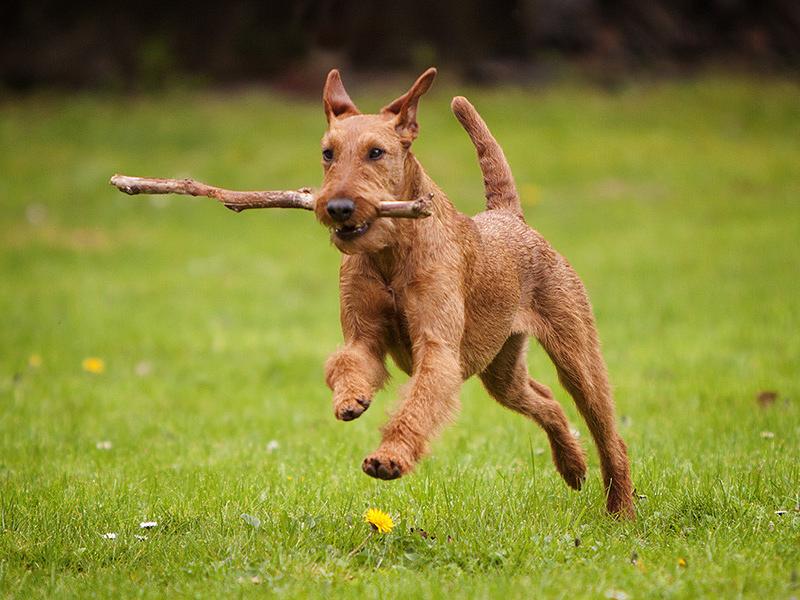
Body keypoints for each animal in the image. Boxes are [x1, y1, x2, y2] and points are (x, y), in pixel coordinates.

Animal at [316, 64, 636, 516]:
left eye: (376, 152)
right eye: (328, 153)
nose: (338, 207)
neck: (392, 252)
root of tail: (510, 216)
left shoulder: (437, 349)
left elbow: (417, 406)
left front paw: (389, 457)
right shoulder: (363, 338)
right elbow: (346, 364)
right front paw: (351, 399)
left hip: (577, 358)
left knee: (609, 433)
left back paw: (621, 510)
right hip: (501, 370)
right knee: (545, 400)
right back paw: (573, 466)